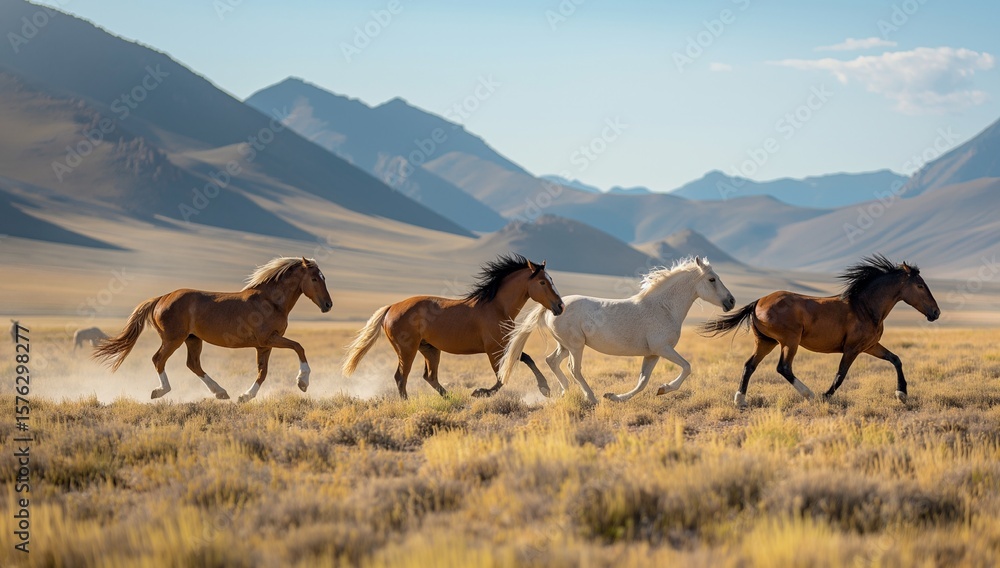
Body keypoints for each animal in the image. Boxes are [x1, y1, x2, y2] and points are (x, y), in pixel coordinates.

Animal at [93, 257, 333, 402]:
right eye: (314, 278)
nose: (328, 305)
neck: (270, 301)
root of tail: (162, 298)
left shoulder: (263, 346)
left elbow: (262, 372)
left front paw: (245, 396)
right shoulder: (269, 339)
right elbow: (299, 347)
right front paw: (303, 382)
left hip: (193, 339)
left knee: (193, 364)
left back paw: (221, 392)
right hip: (173, 339)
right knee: (158, 359)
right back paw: (161, 391)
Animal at [341, 254, 565, 399]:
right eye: (543, 282)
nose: (560, 306)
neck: (497, 307)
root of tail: (391, 308)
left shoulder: (503, 346)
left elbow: (526, 359)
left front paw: (544, 388)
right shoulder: (494, 349)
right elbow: (501, 377)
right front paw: (480, 392)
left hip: (430, 349)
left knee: (429, 377)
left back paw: (449, 397)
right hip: (407, 350)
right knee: (401, 377)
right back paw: (408, 403)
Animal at [498, 257, 736, 405]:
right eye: (712, 279)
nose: (731, 301)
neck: (663, 307)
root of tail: (555, 306)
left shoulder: (652, 354)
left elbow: (642, 382)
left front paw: (615, 397)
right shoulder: (663, 348)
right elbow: (687, 367)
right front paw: (665, 388)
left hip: (565, 346)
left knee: (552, 361)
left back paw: (564, 391)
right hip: (575, 346)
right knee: (574, 369)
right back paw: (591, 397)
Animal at [701, 254, 940, 409]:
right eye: (920, 285)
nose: (936, 312)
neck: (864, 306)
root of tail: (758, 301)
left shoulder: (870, 346)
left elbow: (896, 359)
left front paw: (902, 394)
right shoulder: (853, 349)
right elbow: (841, 375)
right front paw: (826, 396)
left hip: (766, 342)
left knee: (749, 365)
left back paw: (740, 400)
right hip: (789, 340)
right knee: (783, 367)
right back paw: (810, 395)